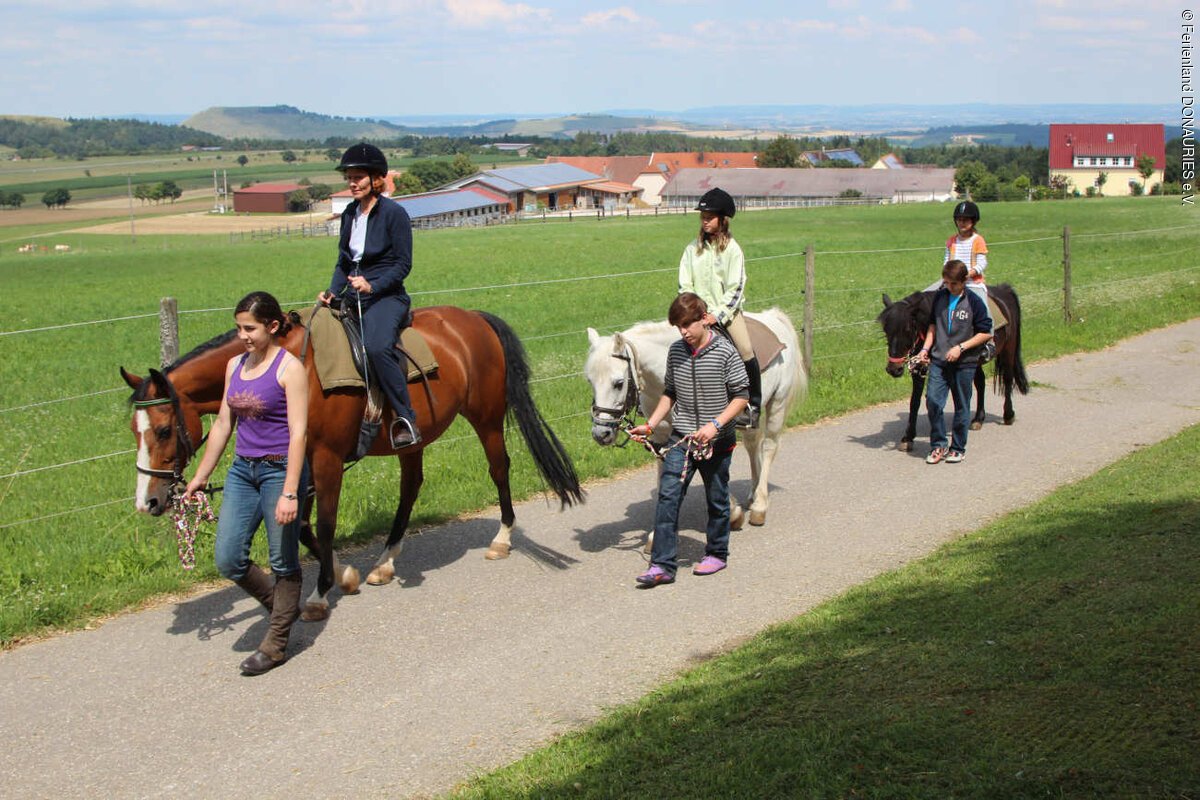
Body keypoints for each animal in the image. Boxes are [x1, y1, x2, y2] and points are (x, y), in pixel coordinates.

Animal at [122, 306, 583, 621]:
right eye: (133, 429)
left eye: (163, 429)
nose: (149, 501)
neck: (296, 367)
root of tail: (474, 318)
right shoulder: (300, 463)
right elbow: (302, 525)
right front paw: (344, 573)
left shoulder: (324, 458)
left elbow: (324, 524)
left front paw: (321, 592)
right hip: (412, 439)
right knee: (411, 486)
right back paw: (384, 561)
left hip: (486, 419)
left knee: (499, 468)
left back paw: (502, 539)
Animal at [585, 308, 805, 530]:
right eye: (590, 381)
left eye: (619, 383)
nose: (601, 433)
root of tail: (773, 317)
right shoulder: (661, 435)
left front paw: (732, 511)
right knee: (752, 445)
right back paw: (753, 495)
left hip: (777, 404)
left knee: (769, 447)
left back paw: (760, 505)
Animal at [878, 283, 1029, 452]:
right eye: (886, 330)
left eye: (908, 329)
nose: (893, 369)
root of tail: (1003, 290)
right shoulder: (919, 369)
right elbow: (915, 402)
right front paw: (908, 437)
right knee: (980, 383)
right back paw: (978, 419)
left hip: (1008, 349)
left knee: (1007, 379)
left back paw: (1008, 415)